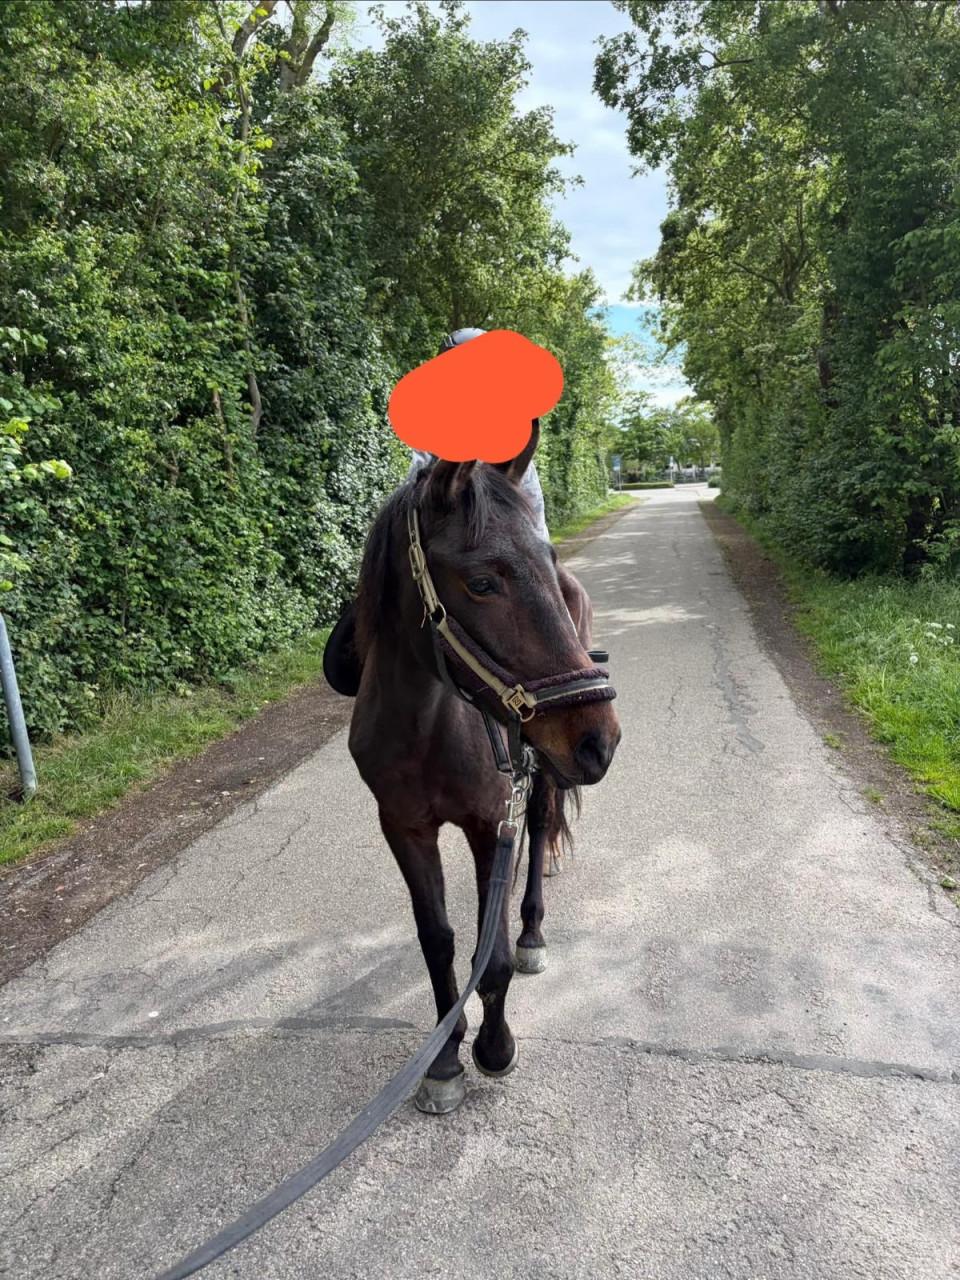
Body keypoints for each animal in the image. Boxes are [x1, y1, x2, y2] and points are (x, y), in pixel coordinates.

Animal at [347, 426, 621, 1113]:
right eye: (479, 582)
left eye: (545, 560)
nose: (600, 739)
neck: (425, 726)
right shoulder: (404, 829)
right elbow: (439, 940)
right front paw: (444, 1058)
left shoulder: (488, 823)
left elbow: (488, 956)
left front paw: (494, 1047)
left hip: (546, 769)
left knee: (542, 830)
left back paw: (532, 935)